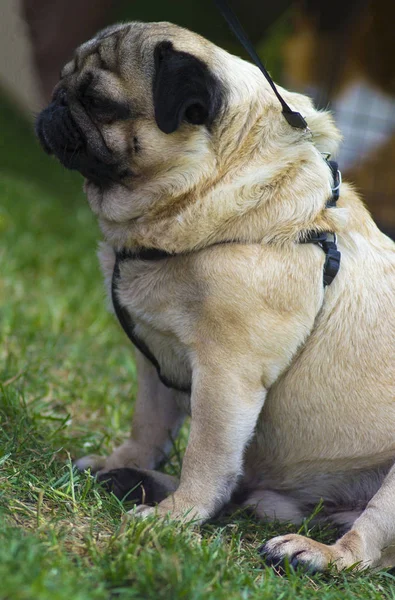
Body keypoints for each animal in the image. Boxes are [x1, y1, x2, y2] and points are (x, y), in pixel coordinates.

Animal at [34, 19, 395, 572]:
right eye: (63, 83)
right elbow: (149, 426)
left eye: (99, 102)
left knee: (362, 549)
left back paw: (313, 553)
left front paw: (176, 518)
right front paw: (127, 462)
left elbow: (206, 456)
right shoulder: (157, 359)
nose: (55, 103)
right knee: (242, 491)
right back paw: (130, 478)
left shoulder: (228, 375)